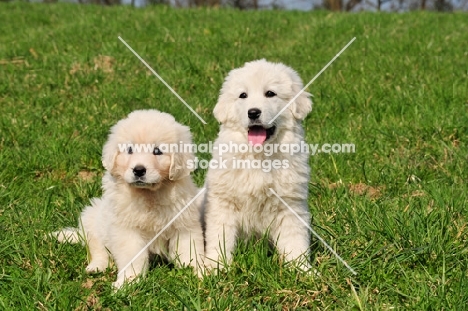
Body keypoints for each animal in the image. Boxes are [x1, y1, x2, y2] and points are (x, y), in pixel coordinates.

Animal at [53, 110, 203, 290]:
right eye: (130, 150)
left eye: (157, 151)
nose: (138, 170)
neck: (148, 194)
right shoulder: (126, 231)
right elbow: (133, 258)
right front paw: (128, 281)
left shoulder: (183, 225)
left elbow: (190, 251)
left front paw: (199, 273)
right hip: (91, 219)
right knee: (98, 249)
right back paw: (96, 266)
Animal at [205, 59, 314, 272]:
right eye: (243, 95)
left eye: (270, 93)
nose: (253, 112)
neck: (259, 155)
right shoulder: (223, 203)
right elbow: (220, 237)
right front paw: (215, 267)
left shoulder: (290, 205)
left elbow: (295, 240)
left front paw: (302, 270)